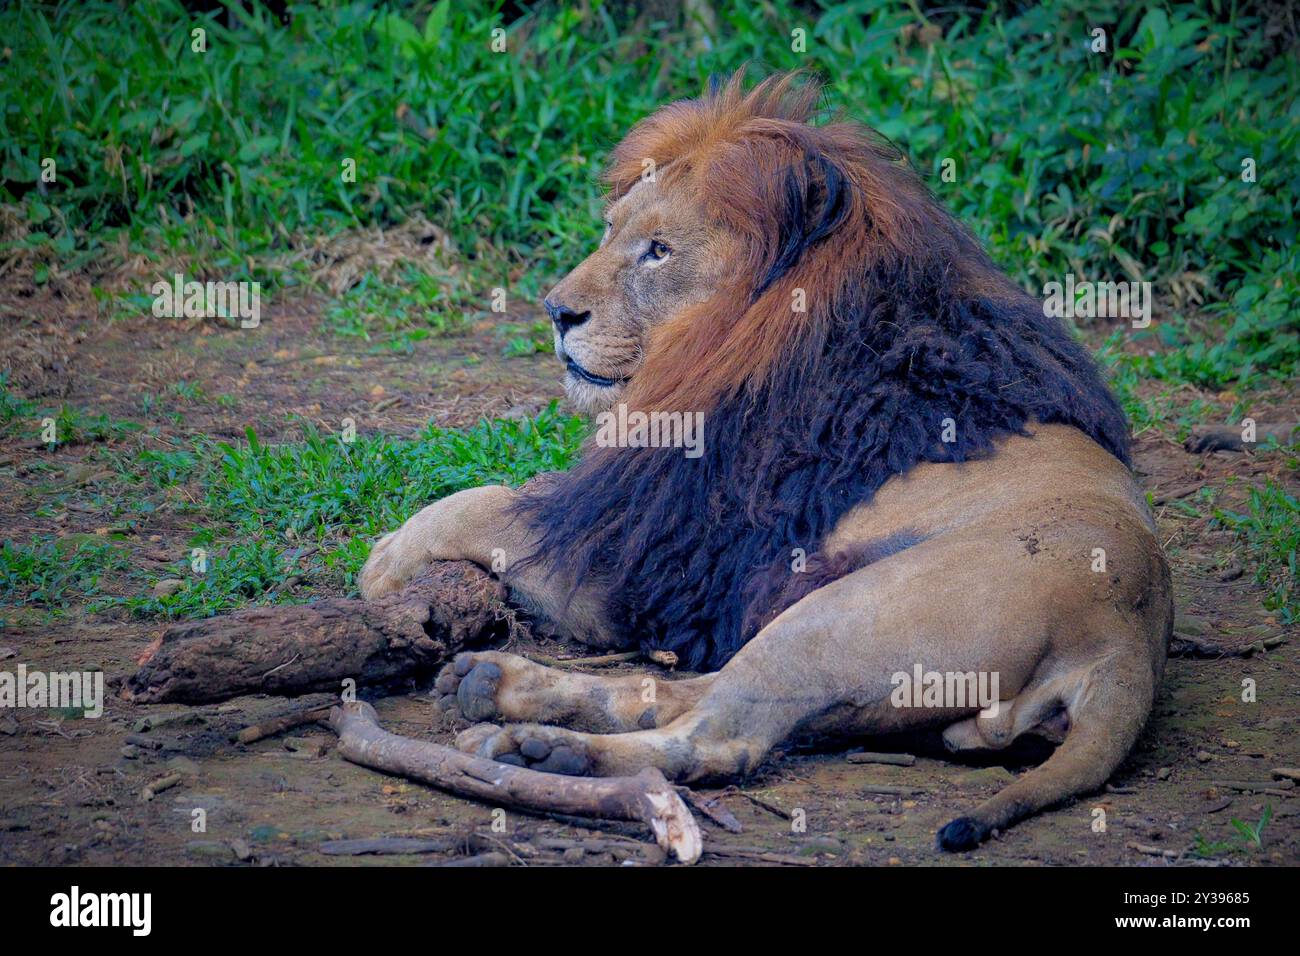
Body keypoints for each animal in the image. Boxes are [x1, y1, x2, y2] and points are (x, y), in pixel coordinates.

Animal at [361, 74, 1175, 853]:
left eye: (658, 250)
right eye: (611, 232)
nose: (557, 312)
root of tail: (1128, 641)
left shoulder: (639, 561)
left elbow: (490, 501)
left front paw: (388, 555)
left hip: (842, 617)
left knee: (717, 740)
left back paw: (533, 748)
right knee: (693, 692)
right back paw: (497, 684)